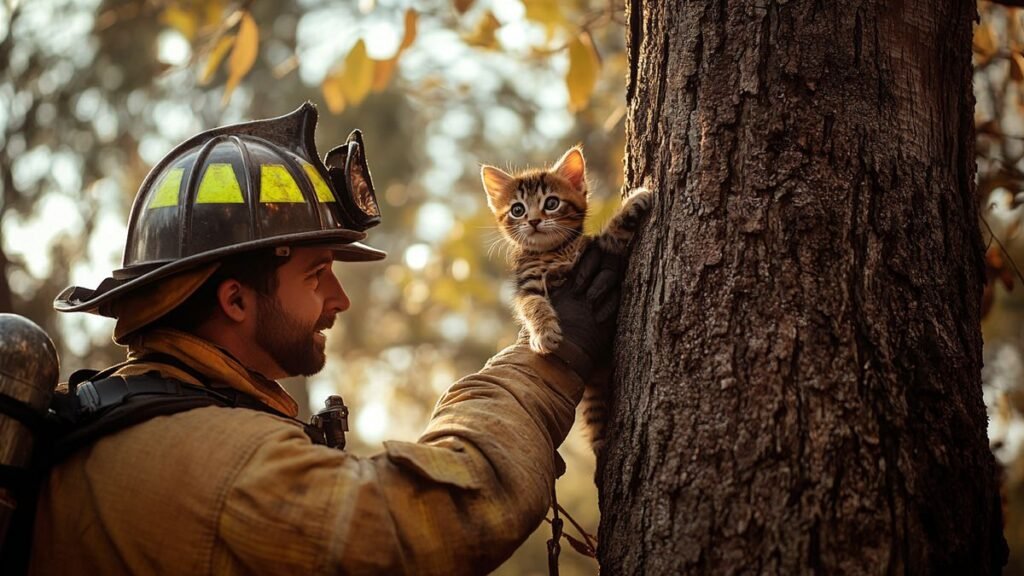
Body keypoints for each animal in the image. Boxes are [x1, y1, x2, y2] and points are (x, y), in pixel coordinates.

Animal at [477, 145, 647, 455]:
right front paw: (544, 333)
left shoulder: (594, 251)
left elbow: (609, 237)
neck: (554, 252)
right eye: (517, 210)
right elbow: (533, 306)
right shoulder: (528, 286)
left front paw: (633, 203)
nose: (533, 221)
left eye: (552, 203)